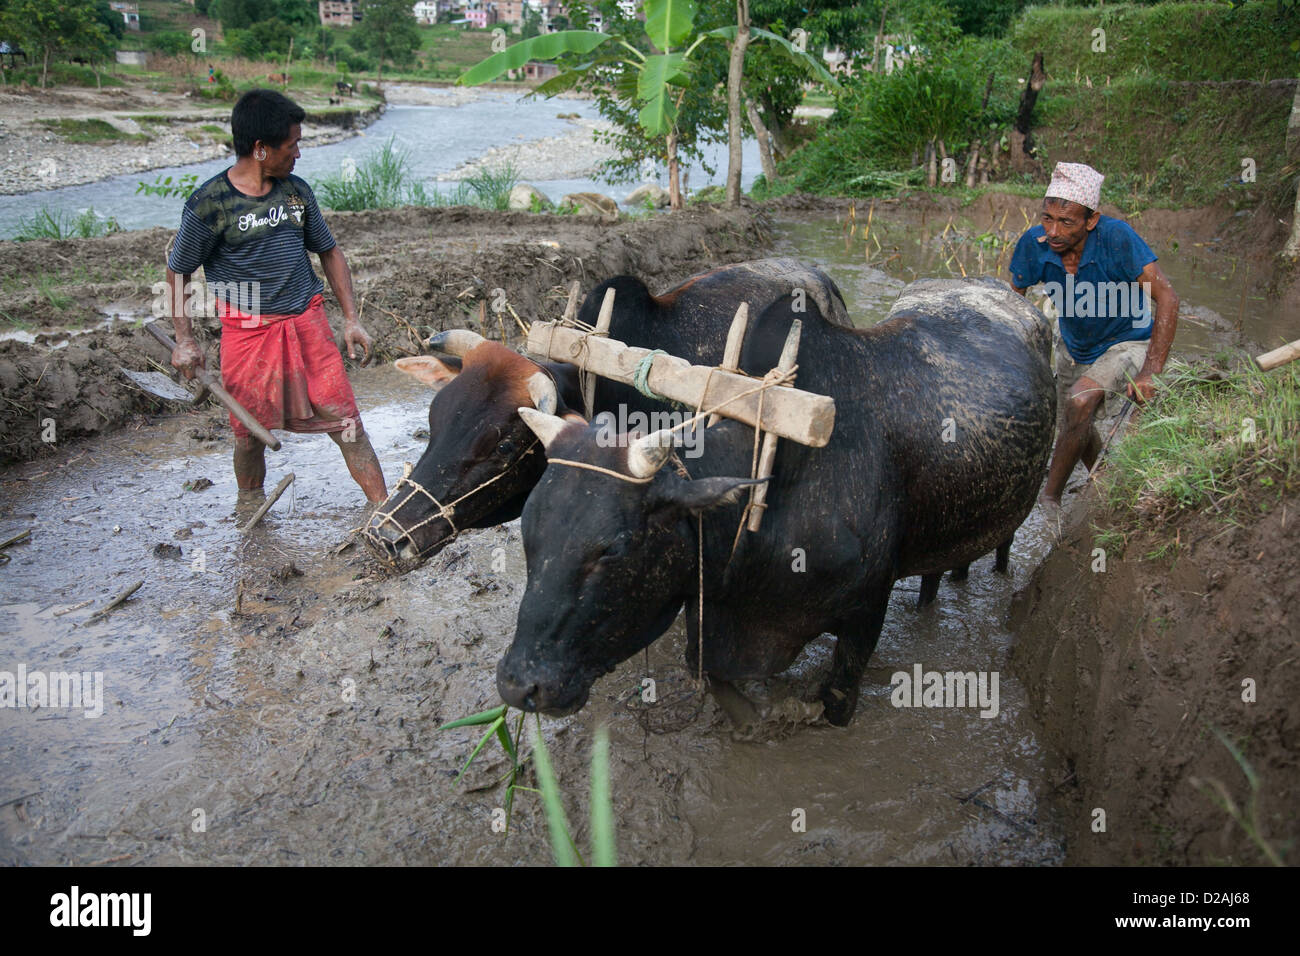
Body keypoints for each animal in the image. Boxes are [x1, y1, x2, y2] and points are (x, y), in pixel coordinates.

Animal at [496, 277, 1055, 723]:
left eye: (612, 550)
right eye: (528, 533)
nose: (519, 684)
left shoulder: (867, 611)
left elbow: (836, 700)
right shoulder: (715, 611)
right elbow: (718, 681)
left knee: (999, 545)